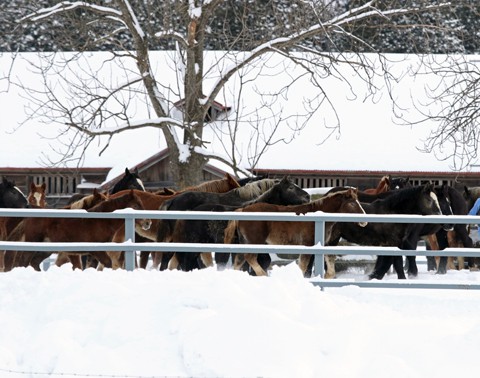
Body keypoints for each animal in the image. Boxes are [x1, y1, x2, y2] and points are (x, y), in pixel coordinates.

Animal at [3, 189, 150, 272]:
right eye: (137, 205)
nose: (148, 222)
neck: (101, 220)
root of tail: (28, 216)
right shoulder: (96, 250)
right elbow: (107, 263)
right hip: (34, 243)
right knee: (23, 261)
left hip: (45, 248)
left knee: (33, 262)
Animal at [223, 188, 366, 276]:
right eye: (352, 203)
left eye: (358, 202)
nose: (364, 221)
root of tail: (243, 210)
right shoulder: (308, 245)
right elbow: (303, 266)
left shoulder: (322, 245)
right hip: (255, 242)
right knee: (249, 257)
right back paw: (263, 275)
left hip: (245, 241)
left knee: (239, 260)